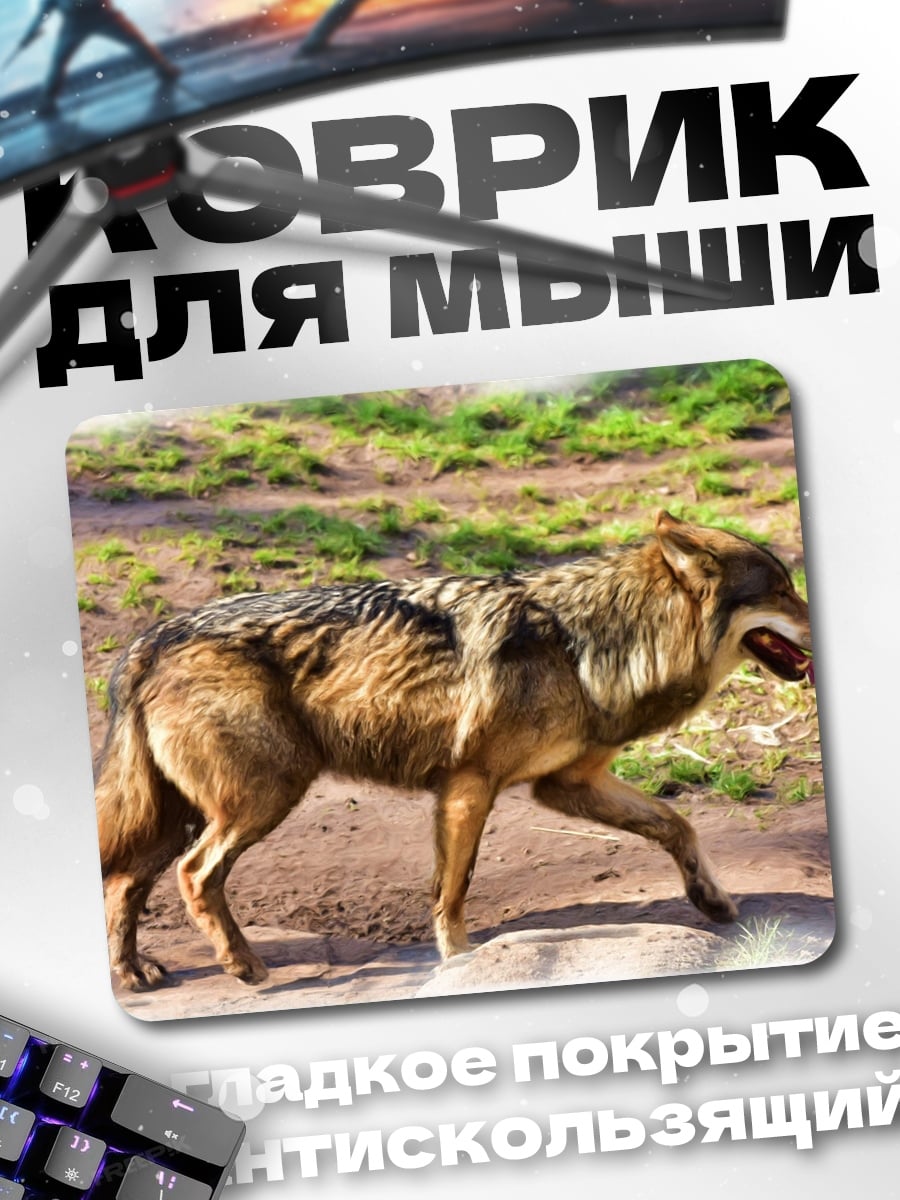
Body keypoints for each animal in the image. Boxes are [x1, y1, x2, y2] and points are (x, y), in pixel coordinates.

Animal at [95, 511, 813, 990]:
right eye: (781, 591)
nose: (819, 621)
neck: (588, 640)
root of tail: (152, 637)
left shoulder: (567, 785)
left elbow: (676, 824)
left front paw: (712, 902)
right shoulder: (469, 784)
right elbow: (453, 889)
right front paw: (459, 959)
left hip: (187, 813)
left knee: (124, 881)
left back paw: (133, 975)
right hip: (262, 798)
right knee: (194, 876)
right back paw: (243, 967)